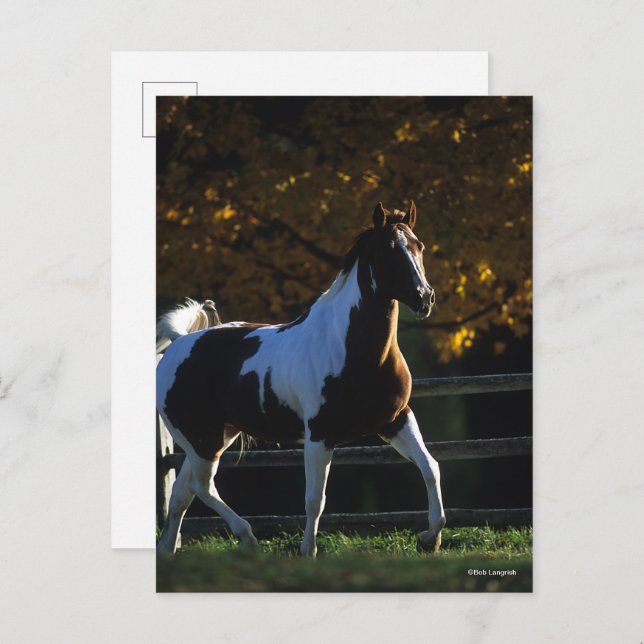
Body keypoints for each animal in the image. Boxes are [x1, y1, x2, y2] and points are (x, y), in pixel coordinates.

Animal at [156, 201, 446, 557]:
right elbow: (314, 499)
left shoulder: (395, 420)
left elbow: (430, 467)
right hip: (201, 439)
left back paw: (168, 550)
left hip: (216, 436)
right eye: (389, 249)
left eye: (419, 246)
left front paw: (430, 538)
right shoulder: (319, 434)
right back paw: (247, 538)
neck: (352, 350)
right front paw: (308, 551)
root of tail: (179, 342)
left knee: (183, 492)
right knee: (201, 486)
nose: (424, 298)